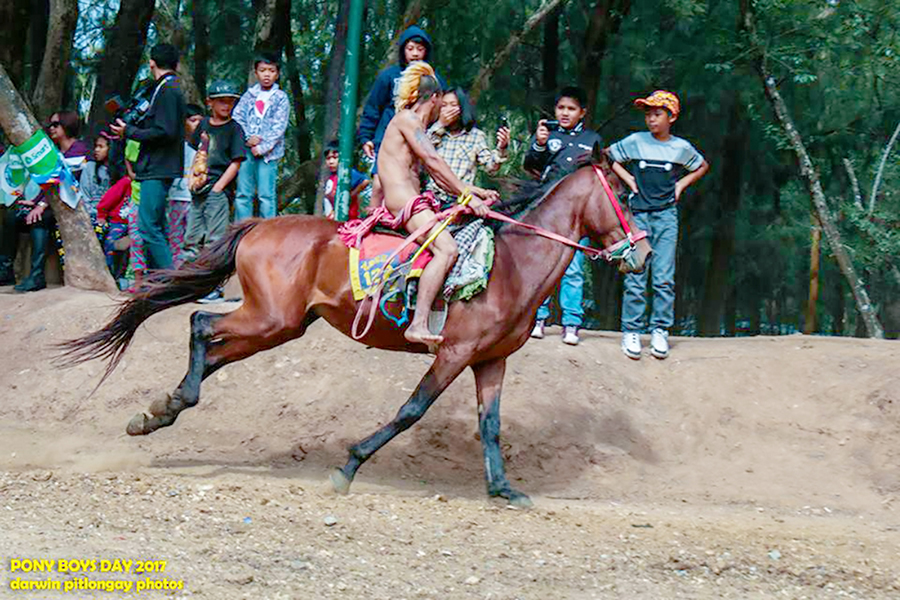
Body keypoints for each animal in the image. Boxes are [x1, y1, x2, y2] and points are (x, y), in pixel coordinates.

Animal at [58, 158, 652, 508]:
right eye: (625, 198)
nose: (645, 253)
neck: (510, 263)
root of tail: (261, 223)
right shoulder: (454, 352)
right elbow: (411, 411)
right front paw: (348, 465)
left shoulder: (490, 359)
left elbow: (490, 426)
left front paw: (503, 487)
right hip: (270, 317)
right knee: (201, 324)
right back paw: (170, 405)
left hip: (282, 326)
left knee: (213, 346)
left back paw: (160, 411)